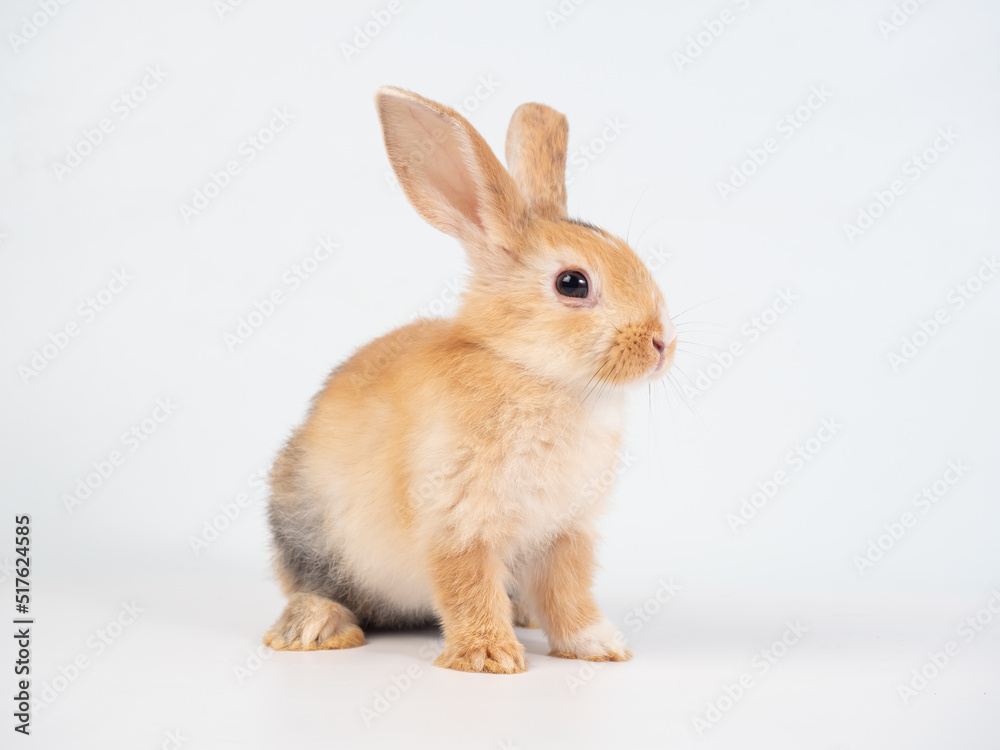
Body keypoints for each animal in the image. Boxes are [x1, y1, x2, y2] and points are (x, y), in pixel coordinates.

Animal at [262, 86, 676, 676]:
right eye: (572, 283)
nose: (663, 343)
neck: (529, 369)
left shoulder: (565, 532)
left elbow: (568, 592)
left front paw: (596, 646)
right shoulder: (458, 520)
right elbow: (468, 584)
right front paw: (488, 657)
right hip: (308, 528)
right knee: (316, 585)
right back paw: (316, 627)